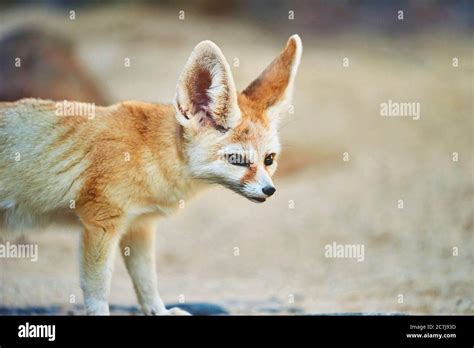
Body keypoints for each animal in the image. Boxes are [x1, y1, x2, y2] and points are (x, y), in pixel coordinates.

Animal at [0, 35, 302, 316]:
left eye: (269, 160)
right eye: (238, 160)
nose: (269, 190)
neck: (149, 153)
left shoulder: (141, 225)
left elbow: (146, 281)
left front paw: (160, 311)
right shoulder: (100, 224)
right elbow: (97, 288)